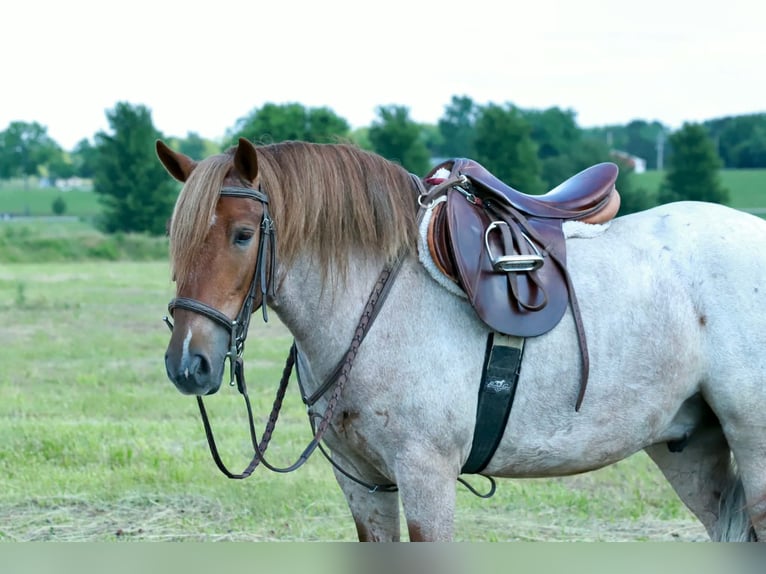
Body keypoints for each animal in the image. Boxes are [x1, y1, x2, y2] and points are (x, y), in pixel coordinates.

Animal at [157, 137, 766, 542]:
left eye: (242, 235)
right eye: (176, 238)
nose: (189, 363)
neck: (377, 300)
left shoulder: (426, 477)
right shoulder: (362, 483)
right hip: (689, 448)